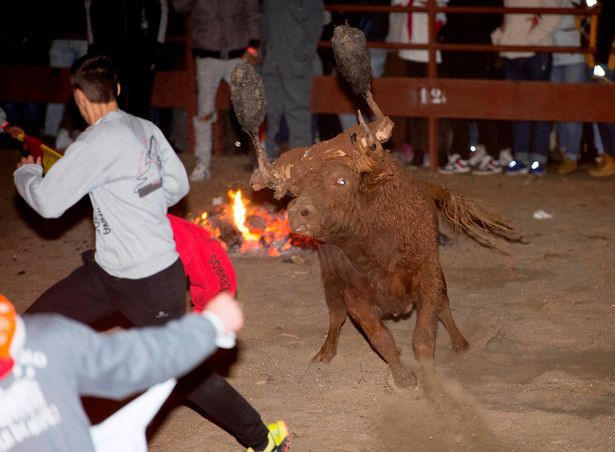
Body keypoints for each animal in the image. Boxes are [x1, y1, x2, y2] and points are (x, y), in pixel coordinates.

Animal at [231, 24, 520, 386]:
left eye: (341, 180)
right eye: (295, 190)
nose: (299, 211)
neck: (371, 244)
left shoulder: (428, 274)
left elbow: (425, 334)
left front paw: (430, 377)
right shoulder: (353, 294)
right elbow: (379, 335)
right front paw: (403, 377)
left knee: (445, 307)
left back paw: (460, 343)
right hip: (329, 281)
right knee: (335, 316)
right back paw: (325, 352)